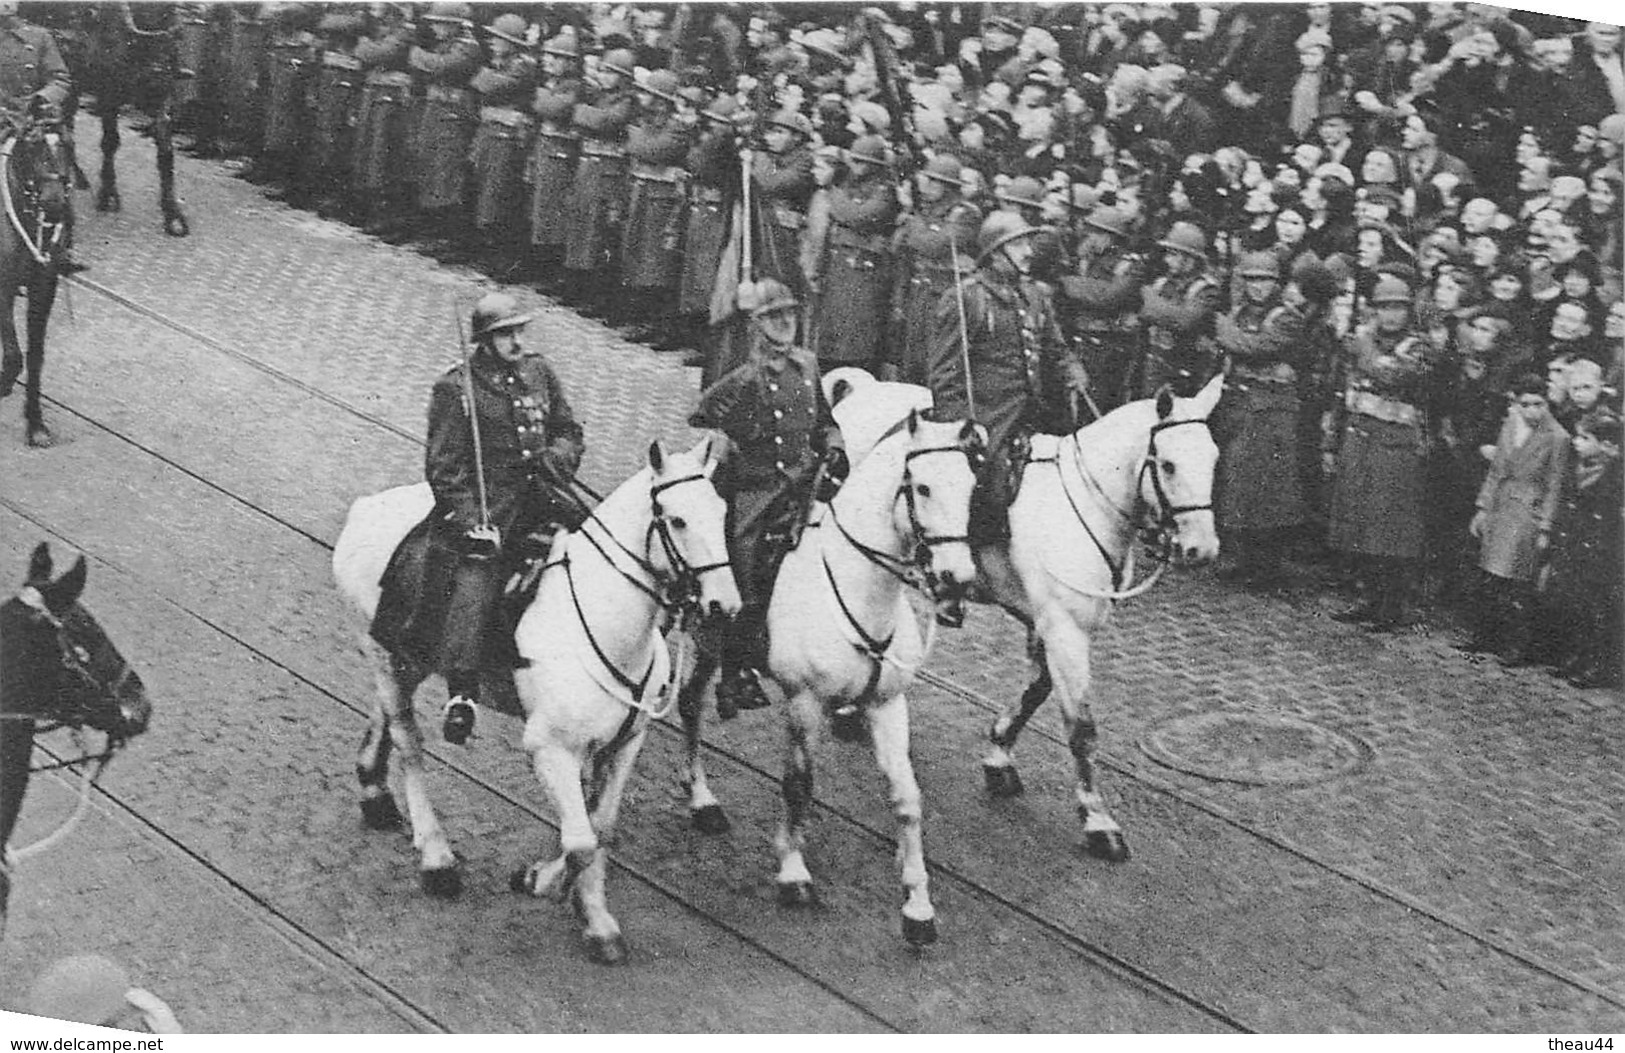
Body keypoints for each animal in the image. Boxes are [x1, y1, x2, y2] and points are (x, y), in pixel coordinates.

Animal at [333, 435, 741, 962]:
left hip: (405, 662)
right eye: (676, 519)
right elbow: (580, 840)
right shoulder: (551, 750)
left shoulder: (624, 745)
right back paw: (436, 858)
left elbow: (600, 830)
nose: (725, 606)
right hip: (388, 659)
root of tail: (366, 508)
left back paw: (374, 790)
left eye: (721, 512)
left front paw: (595, 917)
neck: (606, 622)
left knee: (383, 715)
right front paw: (538, 881)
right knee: (409, 743)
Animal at [672, 407, 975, 942]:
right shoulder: (804, 702)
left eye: (973, 485)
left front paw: (917, 904)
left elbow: (907, 799)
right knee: (689, 703)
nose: (958, 580)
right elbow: (799, 784)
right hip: (705, 637)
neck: (858, 589)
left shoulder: (887, 705)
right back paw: (703, 800)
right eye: (922, 487)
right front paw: (793, 870)